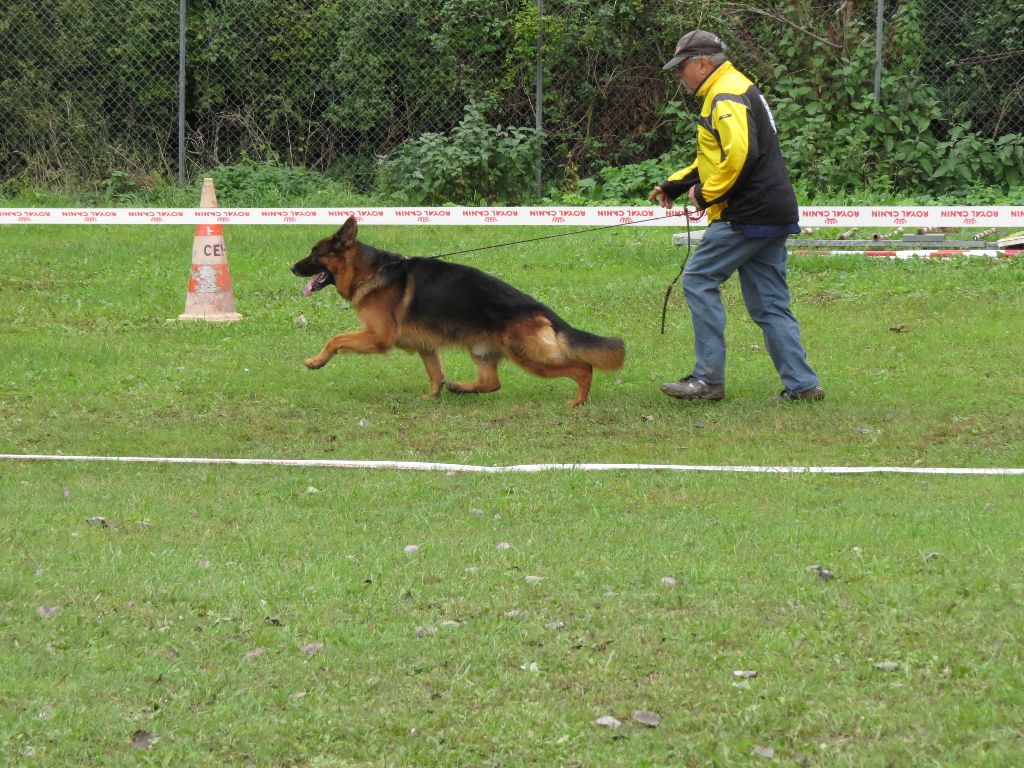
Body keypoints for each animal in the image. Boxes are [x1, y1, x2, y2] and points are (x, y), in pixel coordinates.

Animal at [288, 217, 622, 409]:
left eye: (315, 254)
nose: (291, 267)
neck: (370, 270)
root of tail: (538, 308)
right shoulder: (424, 345)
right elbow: (435, 373)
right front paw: (432, 397)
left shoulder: (377, 337)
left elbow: (335, 339)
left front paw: (316, 361)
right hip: (483, 350)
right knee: (491, 383)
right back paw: (461, 388)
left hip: (530, 357)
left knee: (583, 367)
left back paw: (578, 400)